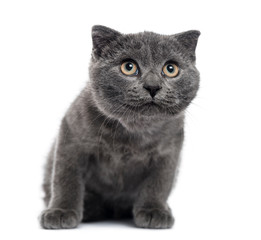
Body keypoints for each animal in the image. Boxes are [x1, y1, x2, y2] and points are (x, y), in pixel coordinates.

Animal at [39, 25, 200, 230]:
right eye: (129, 67)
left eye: (171, 69)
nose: (153, 86)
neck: (134, 130)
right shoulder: (71, 135)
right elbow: (66, 177)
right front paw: (61, 212)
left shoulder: (169, 150)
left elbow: (159, 183)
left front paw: (153, 210)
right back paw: (90, 209)